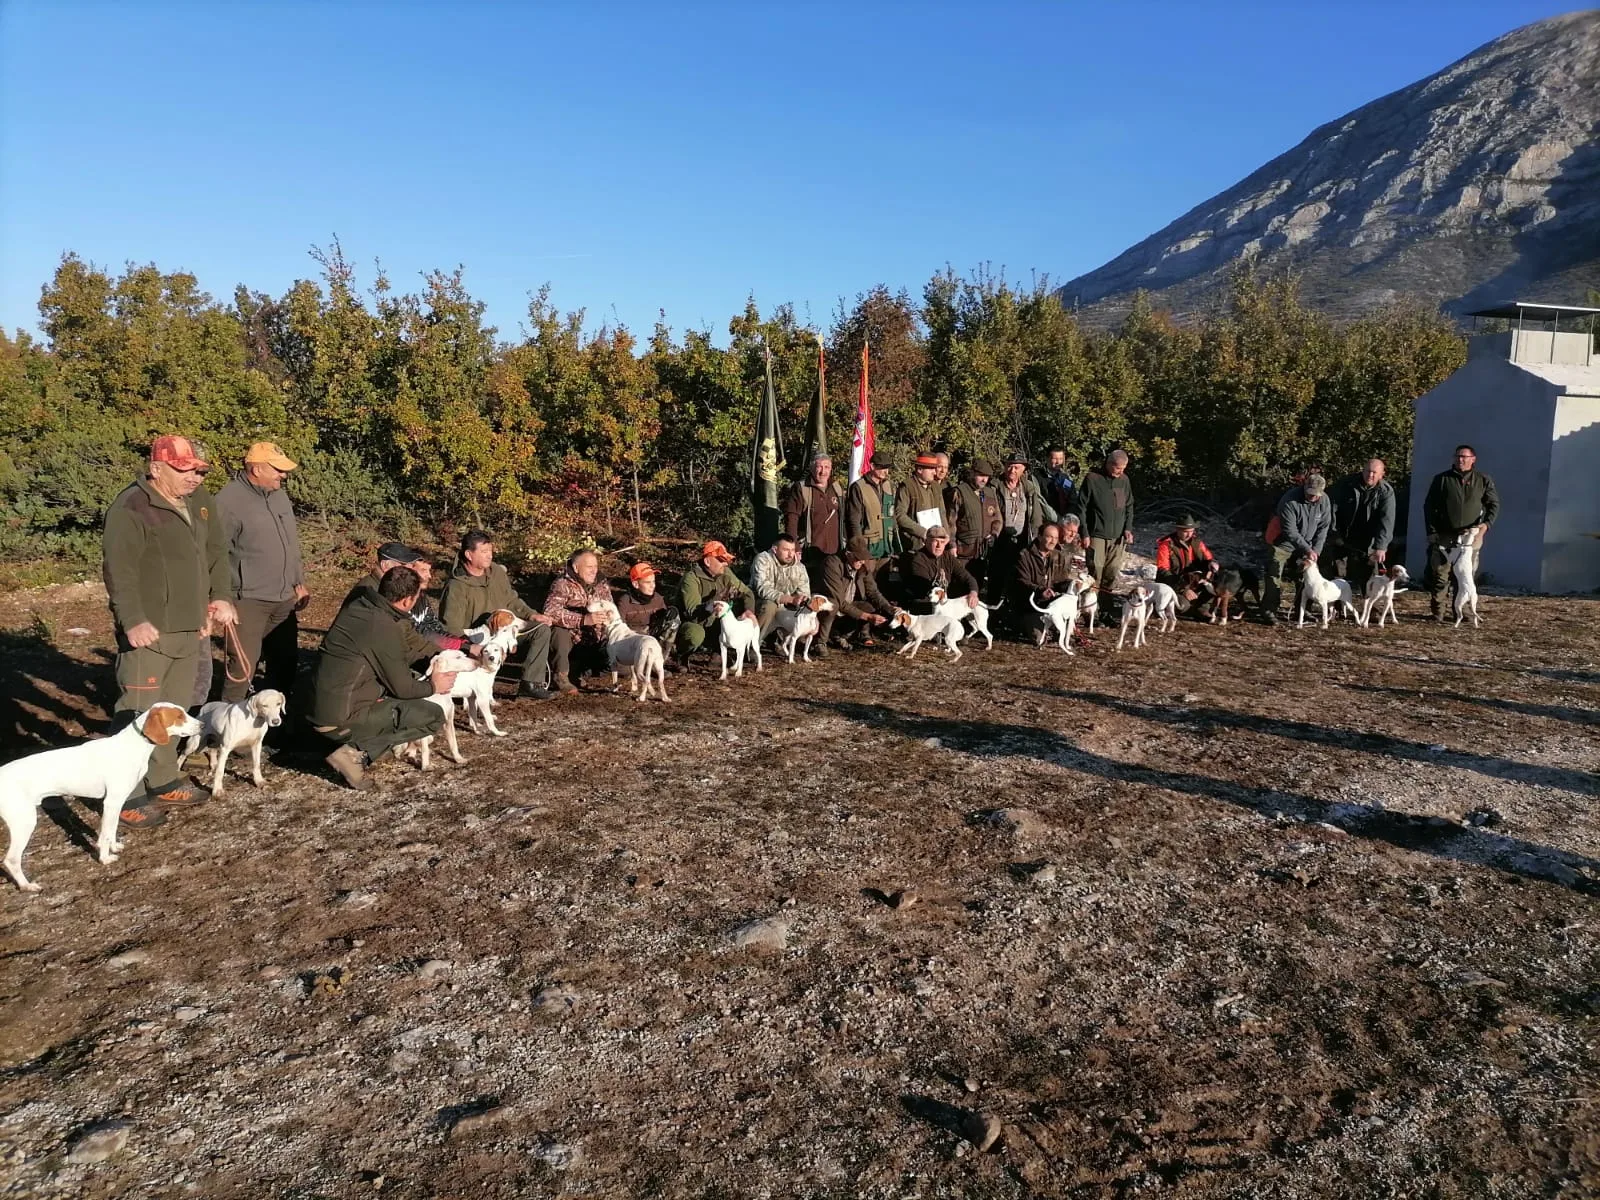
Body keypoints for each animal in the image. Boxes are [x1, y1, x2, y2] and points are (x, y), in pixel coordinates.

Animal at [1, 704, 200, 896]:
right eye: (179, 716)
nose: (202, 725)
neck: (132, 746)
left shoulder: (116, 804)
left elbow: (111, 830)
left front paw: (114, 847)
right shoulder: (112, 802)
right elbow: (104, 835)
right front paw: (105, 859)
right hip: (24, 823)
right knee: (11, 860)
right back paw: (27, 886)